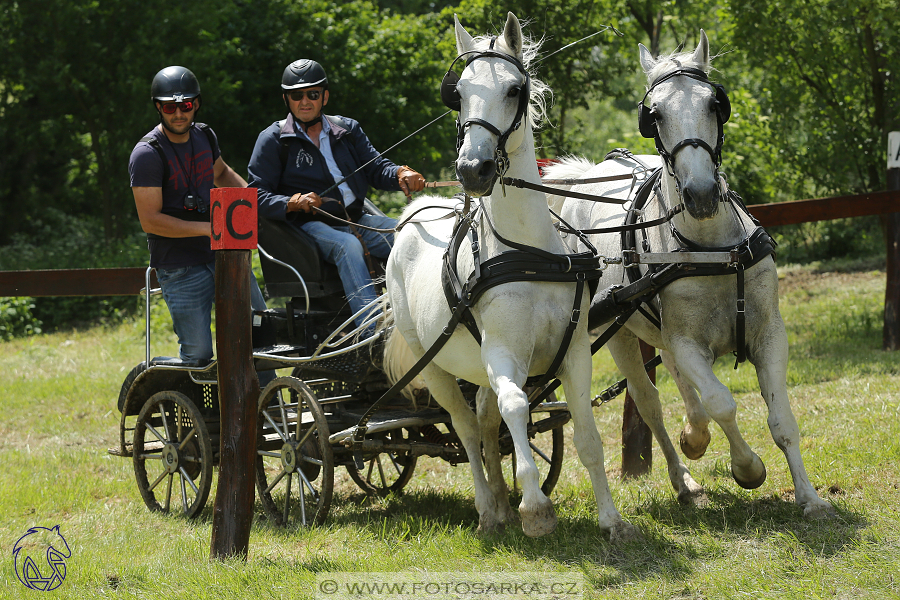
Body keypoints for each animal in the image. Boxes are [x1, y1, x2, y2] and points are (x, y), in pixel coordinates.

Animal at [384, 12, 636, 540]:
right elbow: (517, 408)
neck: (528, 254)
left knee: (482, 419)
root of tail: (415, 213)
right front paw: (536, 507)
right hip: (433, 366)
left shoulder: (574, 353)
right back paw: (487, 507)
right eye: (458, 93)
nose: (472, 169)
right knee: (465, 424)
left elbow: (586, 434)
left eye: (515, 89)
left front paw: (611, 520)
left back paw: (500, 504)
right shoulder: (503, 355)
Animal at [548, 30, 836, 516]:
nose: (700, 194)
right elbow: (721, 402)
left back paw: (693, 439)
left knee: (680, 387)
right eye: (654, 115)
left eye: (714, 104)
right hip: (619, 333)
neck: (712, 249)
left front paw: (810, 496)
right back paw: (684, 477)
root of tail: (592, 173)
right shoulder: (686, 343)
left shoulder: (769, 333)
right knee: (650, 403)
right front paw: (747, 467)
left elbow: (781, 418)